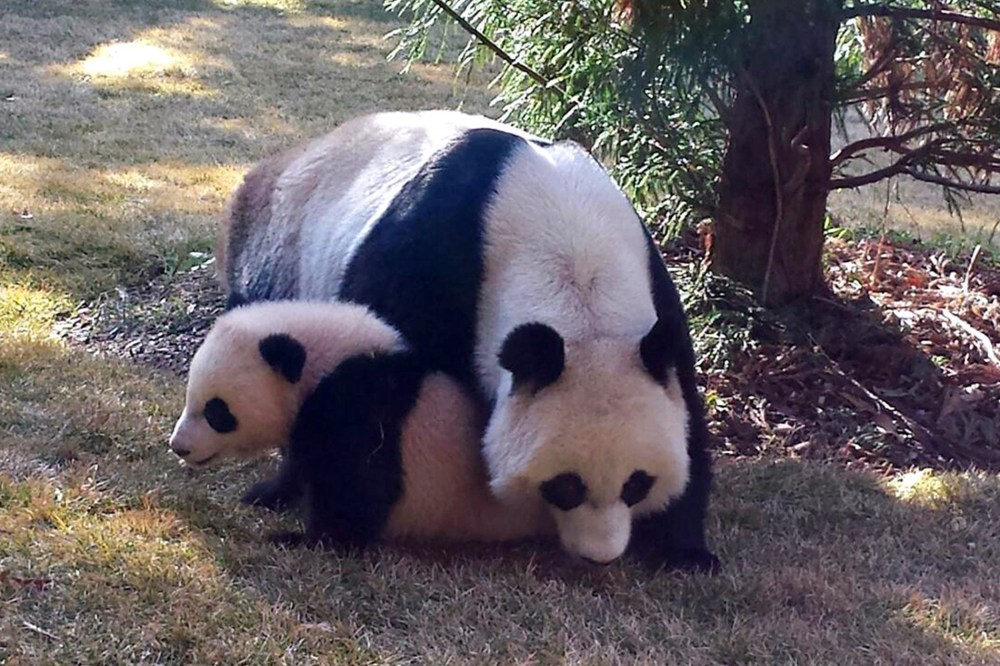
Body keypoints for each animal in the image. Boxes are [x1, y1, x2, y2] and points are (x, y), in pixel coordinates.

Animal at [169, 300, 553, 547]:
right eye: (190, 398)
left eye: (217, 412)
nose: (179, 446)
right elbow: (300, 461)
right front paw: (264, 495)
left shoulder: (359, 404)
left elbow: (357, 487)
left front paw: (300, 537)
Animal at [218, 110, 718, 572]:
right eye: (565, 485)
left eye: (637, 483)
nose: (599, 555)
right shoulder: (427, 260)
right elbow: (363, 399)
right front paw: (333, 529)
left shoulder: (655, 294)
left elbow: (687, 411)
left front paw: (686, 550)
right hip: (281, 251)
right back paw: (277, 491)